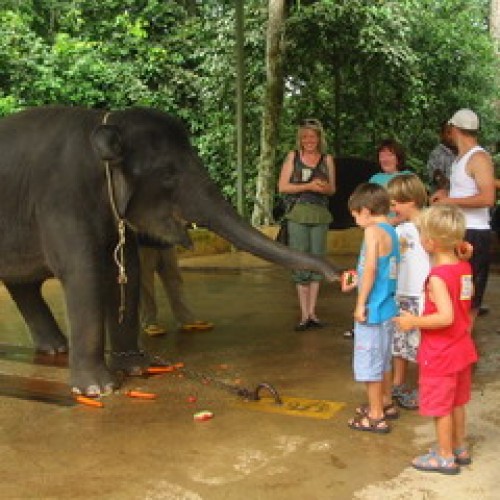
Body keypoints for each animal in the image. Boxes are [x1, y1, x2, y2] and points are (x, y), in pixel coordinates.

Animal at [0, 105, 340, 394]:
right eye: (168, 174)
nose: (338, 275)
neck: (104, 123)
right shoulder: (60, 200)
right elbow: (84, 275)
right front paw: (100, 389)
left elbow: (127, 272)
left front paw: (137, 368)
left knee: (23, 285)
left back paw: (57, 348)